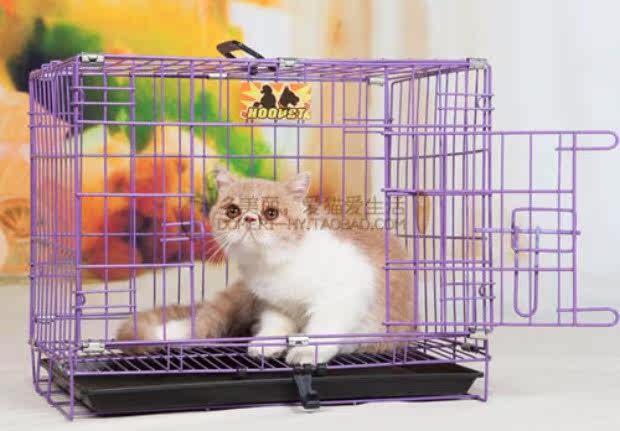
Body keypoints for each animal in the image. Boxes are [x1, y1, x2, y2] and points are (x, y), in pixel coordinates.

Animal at [117, 168, 414, 364]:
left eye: (271, 213)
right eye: (233, 210)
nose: (249, 218)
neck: (278, 265)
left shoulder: (345, 292)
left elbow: (323, 329)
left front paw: (306, 351)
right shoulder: (274, 303)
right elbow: (274, 323)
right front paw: (266, 343)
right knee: (200, 320)